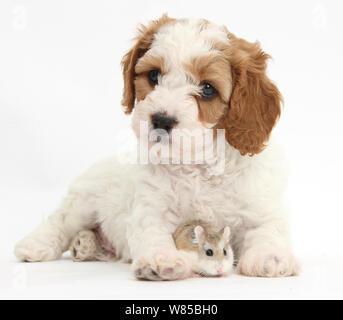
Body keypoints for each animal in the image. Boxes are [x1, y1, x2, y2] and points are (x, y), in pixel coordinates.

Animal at [13, 15, 300, 280]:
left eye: (207, 89)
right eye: (153, 75)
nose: (161, 120)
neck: (198, 161)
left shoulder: (260, 204)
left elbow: (267, 229)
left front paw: (270, 257)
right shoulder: (152, 208)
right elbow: (153, 232)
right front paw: (161, 259)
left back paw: (86, 244)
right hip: (84, 198)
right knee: (60, 220)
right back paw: (35, 245)